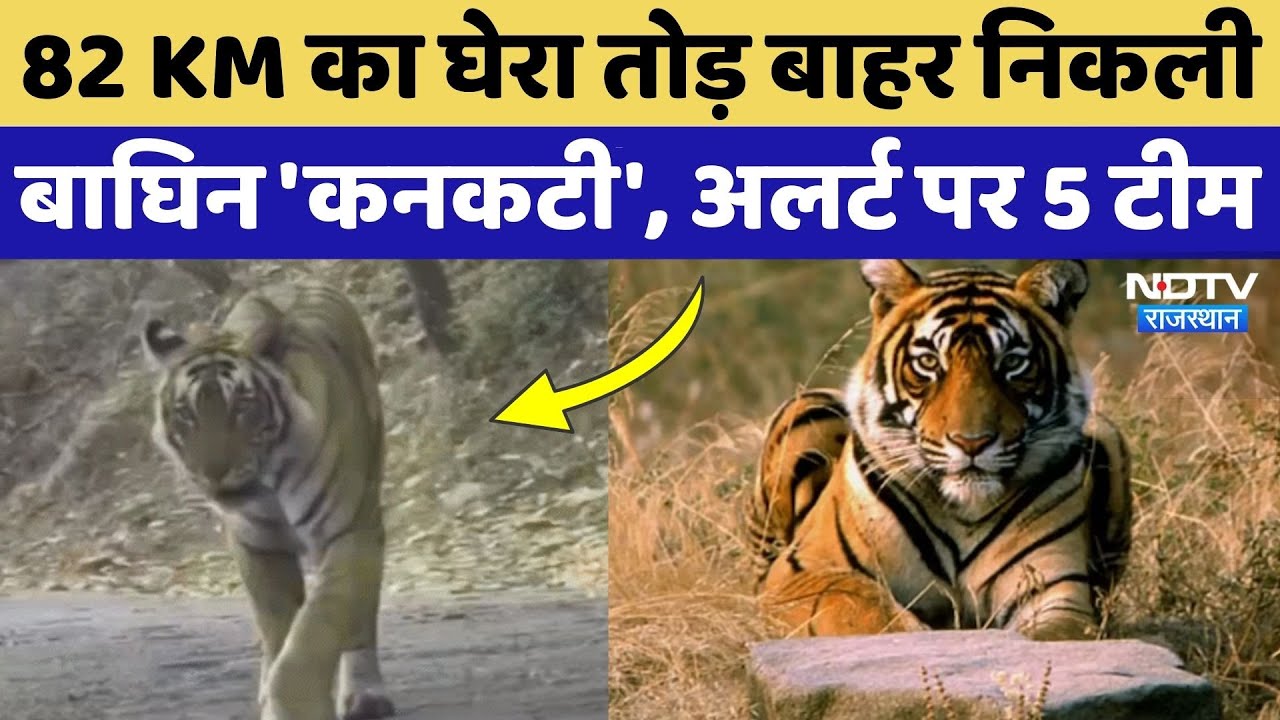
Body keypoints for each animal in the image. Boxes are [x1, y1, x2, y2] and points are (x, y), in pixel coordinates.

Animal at [141, 281, 395, 720]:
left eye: (242, 406)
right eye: (186, 413)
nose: (214, 470)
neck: (269, 486)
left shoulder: (348, 534)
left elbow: (314, 629)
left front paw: (297, 703)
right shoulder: (257, 547)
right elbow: (278, 629)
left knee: (361, 619)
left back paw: (366, 695)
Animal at [745, 259, 1132, 642]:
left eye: (1011, 363)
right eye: (929, 362)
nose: (972, 442)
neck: (965, 512)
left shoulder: (1057, 591)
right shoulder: (801, 569)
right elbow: (858, 604)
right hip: (809, 408)